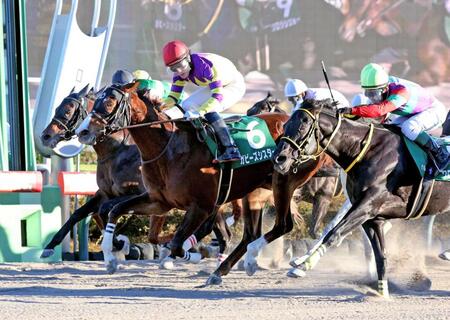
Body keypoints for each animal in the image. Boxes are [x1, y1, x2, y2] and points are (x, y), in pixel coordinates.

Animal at [270, 99, 450, 298]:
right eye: (286, 125)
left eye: (303, 125)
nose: (278, 159)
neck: (364, 151)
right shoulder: (371, 216)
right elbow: (379, 254)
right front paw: (382, 293)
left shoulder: (371, 205)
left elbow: (335, 233)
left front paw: (302, 267)